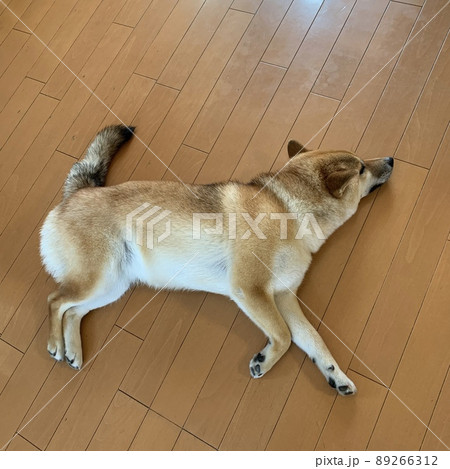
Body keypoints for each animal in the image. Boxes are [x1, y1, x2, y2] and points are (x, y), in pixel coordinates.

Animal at [42, 124, 394, 394]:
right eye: (361, 167)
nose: (391, 158)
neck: (288, 210)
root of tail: (78, 193)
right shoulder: (250, 289)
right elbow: (283, 337)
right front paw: (265, 361)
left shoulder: (284, 297)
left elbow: (314, 341)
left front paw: (336, 375)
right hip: (98, 278)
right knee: (55, 301)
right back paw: (57, 345)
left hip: (112, 285)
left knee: (73, 312)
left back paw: (73, 350)